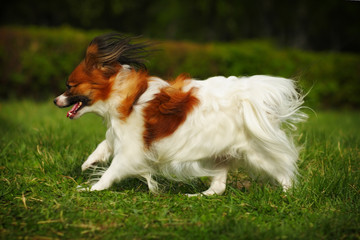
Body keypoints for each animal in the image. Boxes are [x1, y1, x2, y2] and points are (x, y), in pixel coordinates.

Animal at [53, 33, 306, 195]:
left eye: (70, 86)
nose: (55, 100)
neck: (127, 96)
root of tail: (248, 97)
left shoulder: (131, 150)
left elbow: (112, 171)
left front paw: (92, 188)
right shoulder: (120, 136)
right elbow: (103, 145)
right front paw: (89, 163)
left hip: (257, 153)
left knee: (283, 171)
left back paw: (287, 193)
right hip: (219, 154)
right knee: (219, 186)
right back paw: (201, 195)